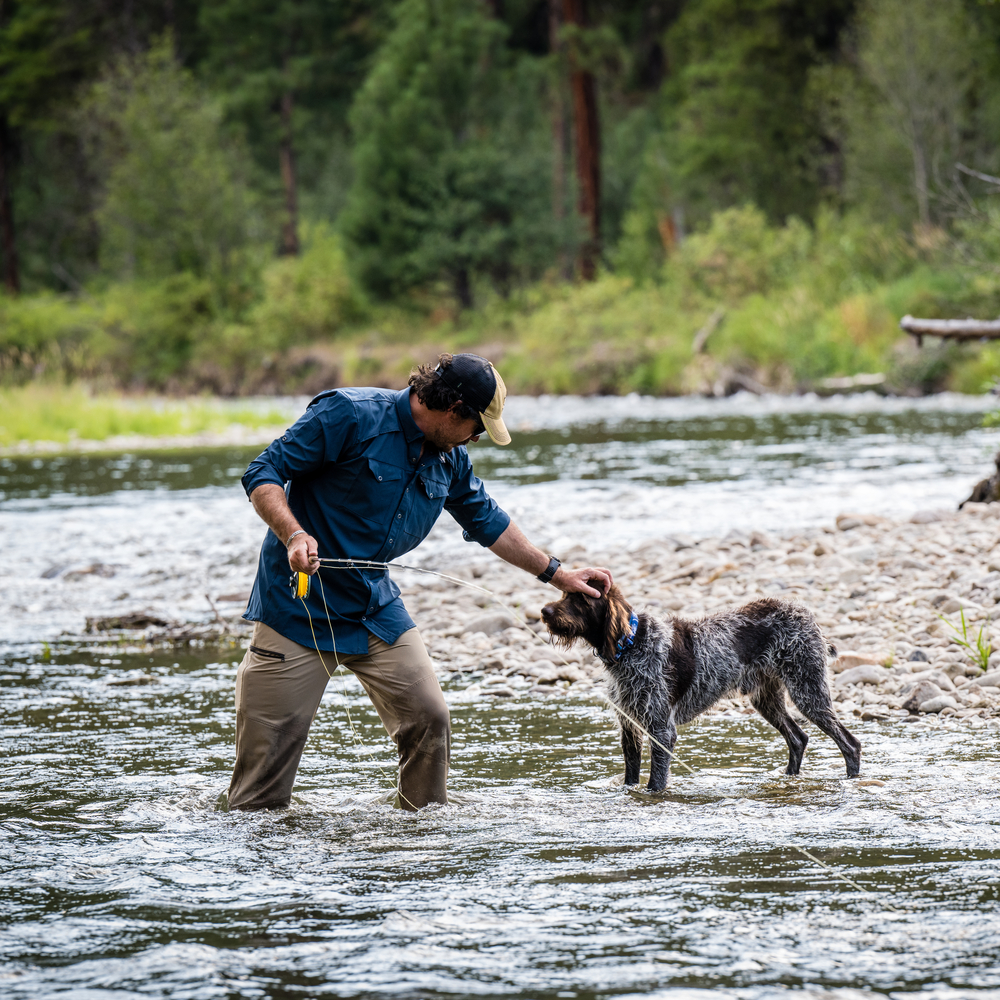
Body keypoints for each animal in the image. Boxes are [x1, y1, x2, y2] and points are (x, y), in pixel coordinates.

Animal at [544, 584, 864, 788]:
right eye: (565, 594)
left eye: (581, 600)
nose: (545, 611)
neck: (632, 644)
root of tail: (807, 616)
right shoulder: (630, 726)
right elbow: (631, 775)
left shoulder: (662, 728)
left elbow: (655, 782)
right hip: (767, 699)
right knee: (798, 738)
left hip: (808, 692)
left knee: (850, 743)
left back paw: (851, 780)